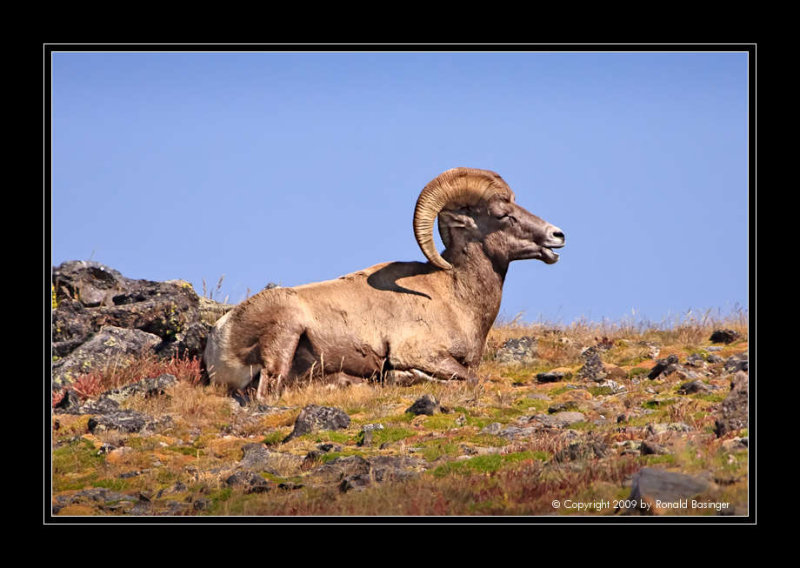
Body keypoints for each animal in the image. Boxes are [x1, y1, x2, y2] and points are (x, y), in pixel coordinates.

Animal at [203, 169, 564, 400]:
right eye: (503, 215)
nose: (557, 235)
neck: (455, 296)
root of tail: (220, 337)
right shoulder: (421, 353)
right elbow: (468, 377)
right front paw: (399, 377)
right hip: (285, 333)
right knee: (271, 390)